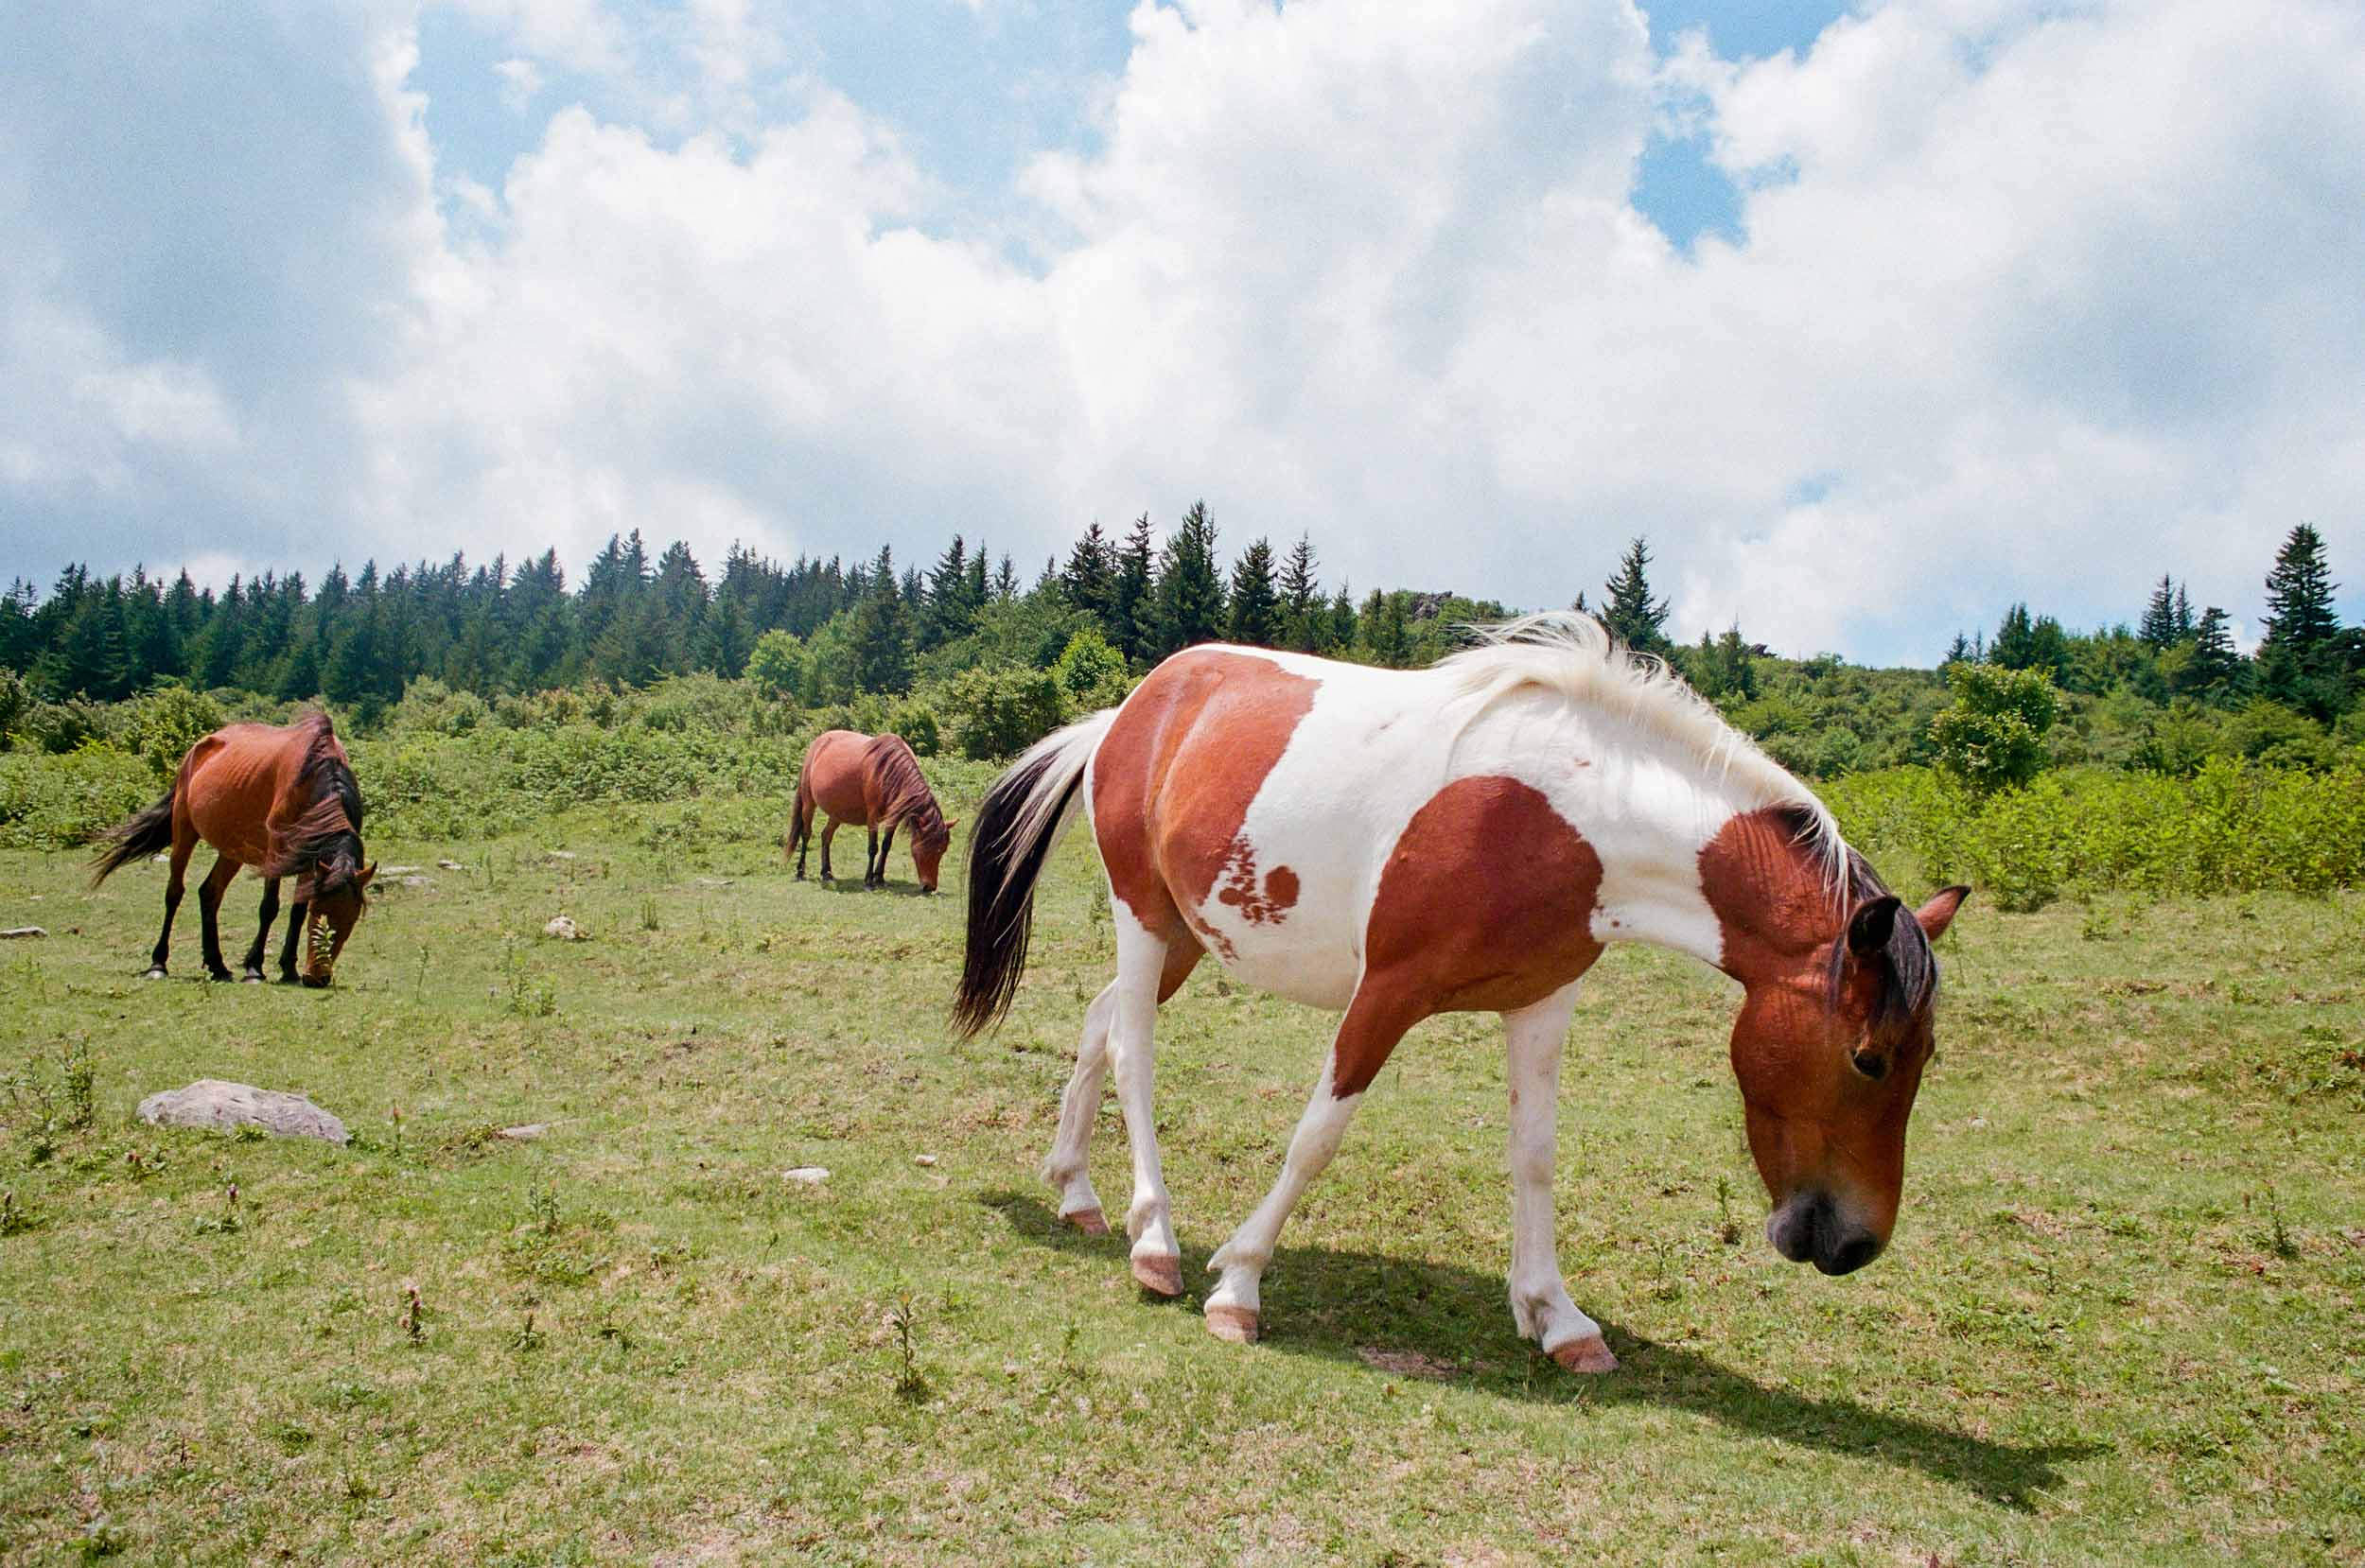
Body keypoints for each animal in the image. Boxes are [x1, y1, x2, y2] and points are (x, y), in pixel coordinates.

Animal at [89, 712, 377, 987]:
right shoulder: (277, 853)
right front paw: (255, 969)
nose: (317, 978)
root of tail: (197, 749)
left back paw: (217, 965)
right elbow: (269, 908)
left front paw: (288, 969)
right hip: (184, 833)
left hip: (232, 851)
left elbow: (296, 911)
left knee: (209, 893)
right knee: (174, 893)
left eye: (351, 919)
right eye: (318, 915)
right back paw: (158, 964)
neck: (314, 777)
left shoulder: (310, 858)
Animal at [786, 729, 958, 892]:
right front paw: (869, 882)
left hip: (837, 814)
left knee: (826, 836)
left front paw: (879, 877)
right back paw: (800, 872)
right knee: (806, 834)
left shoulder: (894, 818)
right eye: (926, 849)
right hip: (809, 803)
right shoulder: (872, 817)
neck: (889, 771)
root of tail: (818, 743)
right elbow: (873, 848)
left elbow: (886, 845)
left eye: (942, 851)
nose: (930, 887)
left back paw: (827, 873)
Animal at [954, 614, 1967, 1373]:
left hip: (1183, 938)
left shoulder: (1543, 1003)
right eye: (1869, 1059)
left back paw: (1078, 1193)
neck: (1569, 815)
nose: (1856, 1244)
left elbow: (1535, 1155)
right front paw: (1238, 1286)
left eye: (1924, 1059)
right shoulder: (1389, 992)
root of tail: (1128, 713)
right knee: (1133, 1053)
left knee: (1100, 1023)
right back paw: (1154, 1243)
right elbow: (1317, 1137)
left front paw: (1558, 1317)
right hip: (1142, 915)